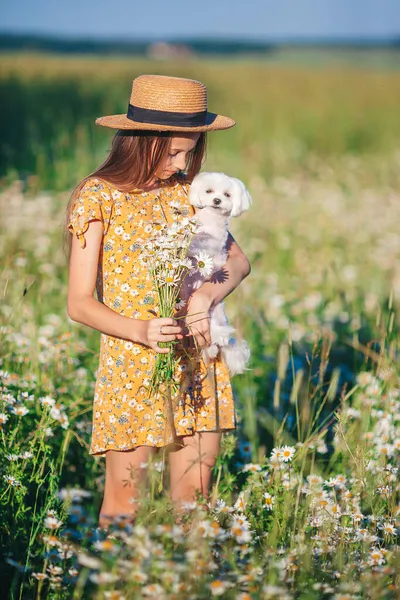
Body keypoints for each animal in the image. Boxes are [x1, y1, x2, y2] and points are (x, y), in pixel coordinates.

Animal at [180, 171, 252, 376]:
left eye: (227, 194)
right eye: (209, 191)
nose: (217, 200)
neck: (211, 220)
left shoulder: (215, 246)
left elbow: (200, 245)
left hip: (211, 319)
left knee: (218, 338)